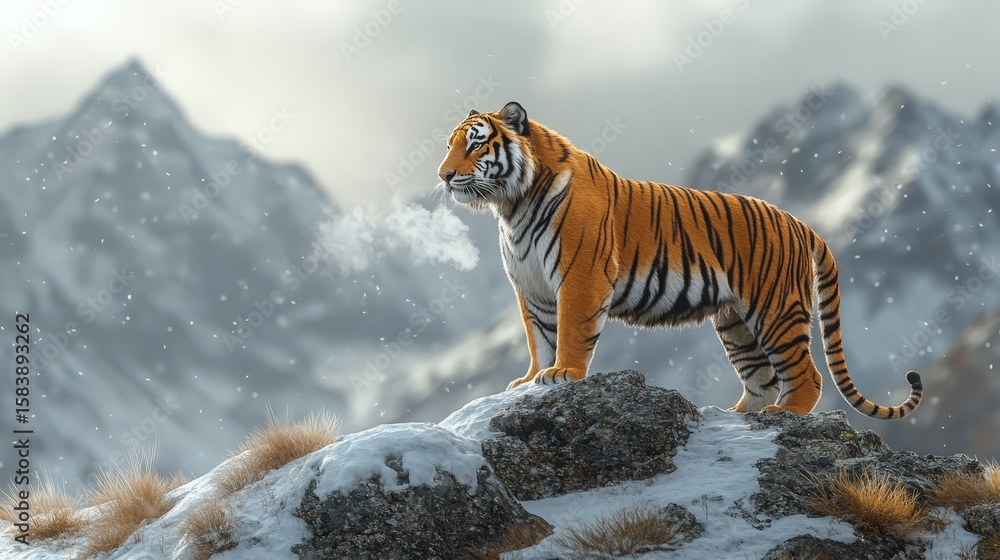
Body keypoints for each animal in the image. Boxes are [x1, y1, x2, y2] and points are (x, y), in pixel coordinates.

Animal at [436, 101, 922, 419]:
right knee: (763, 380)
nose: (443, 175)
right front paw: (531, 379)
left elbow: (572, 332)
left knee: (806, 375)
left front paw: (563, 374)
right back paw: (737, 417)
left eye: (475, 146)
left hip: (775, 309)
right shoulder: (531, 287)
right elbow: (539, 337)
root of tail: (801, 223)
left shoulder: (579, 277)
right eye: (450, 145)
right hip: (736, 324)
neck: (512, 206)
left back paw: (785, 416)